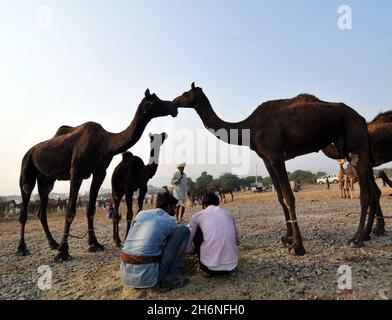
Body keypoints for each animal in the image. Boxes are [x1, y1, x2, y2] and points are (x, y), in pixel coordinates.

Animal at [17, 89, 178, 262]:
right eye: (154, 100)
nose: (174, 107)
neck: (105, 143)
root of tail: (31, 151)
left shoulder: (100, 172)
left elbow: (91, 209)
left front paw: (94, 244)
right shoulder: (76, 171)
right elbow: (70, 211)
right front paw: (63, 252)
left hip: (47, 180)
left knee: (42, 207)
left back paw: (53, 243)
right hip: (26, 168)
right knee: (25, 204)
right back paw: (22, 248)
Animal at [174, 82, 380, 255]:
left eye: (185, 93)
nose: (174, 101)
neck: (249, 127)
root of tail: (362, 119)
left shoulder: (276, 155)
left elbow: (289, 197)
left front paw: (297, 246)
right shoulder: (266, 159)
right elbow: (280, 197)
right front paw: (287, 238)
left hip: (356, 143)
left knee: (366, 193)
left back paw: (357, 239)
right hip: (351, 149)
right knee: (372, 190)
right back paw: (366, 234)